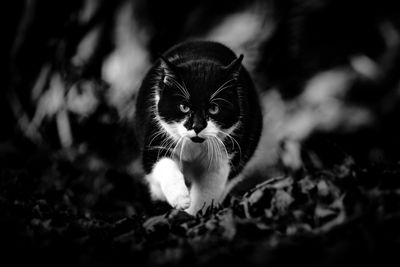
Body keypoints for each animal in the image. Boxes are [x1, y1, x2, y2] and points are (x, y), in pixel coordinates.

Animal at [134, 40, 262, 216]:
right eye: (184, 107)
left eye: (214, 108)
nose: (197, 126)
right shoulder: (156, 134)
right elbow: (162, 163)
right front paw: (180, 199)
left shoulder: (224, 154)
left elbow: (208, 189)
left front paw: (194, 214)